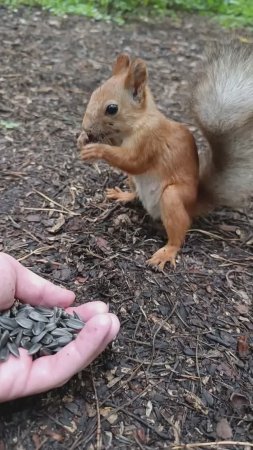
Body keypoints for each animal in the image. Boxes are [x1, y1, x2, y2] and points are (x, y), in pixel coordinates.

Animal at [78, 40, 253, 268]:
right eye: (92, 94)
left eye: (112, 108)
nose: (86, 127)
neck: (137, 122)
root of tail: (194, 203)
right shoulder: (120, 139)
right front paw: (82, 138)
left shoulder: (149, 140)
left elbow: (133, 161)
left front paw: (96, 149)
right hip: (133, 181)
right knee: (136, 194)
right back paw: (124, 195)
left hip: (173, 197)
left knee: (181, 229)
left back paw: (167, 252)